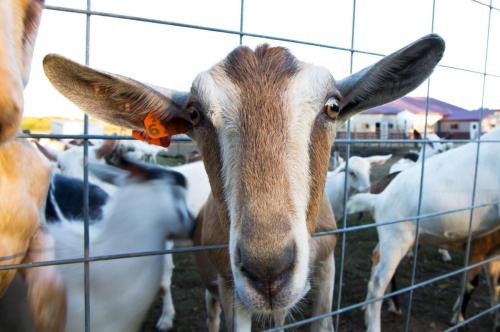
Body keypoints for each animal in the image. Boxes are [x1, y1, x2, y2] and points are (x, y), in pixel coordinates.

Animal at [348, 126, 500, 330]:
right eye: (427, 142)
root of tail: (380, 200)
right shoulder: (479, 248)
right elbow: (471, 283)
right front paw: (459, 319)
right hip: (396, 237)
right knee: (377, 283)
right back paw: (377, 322)